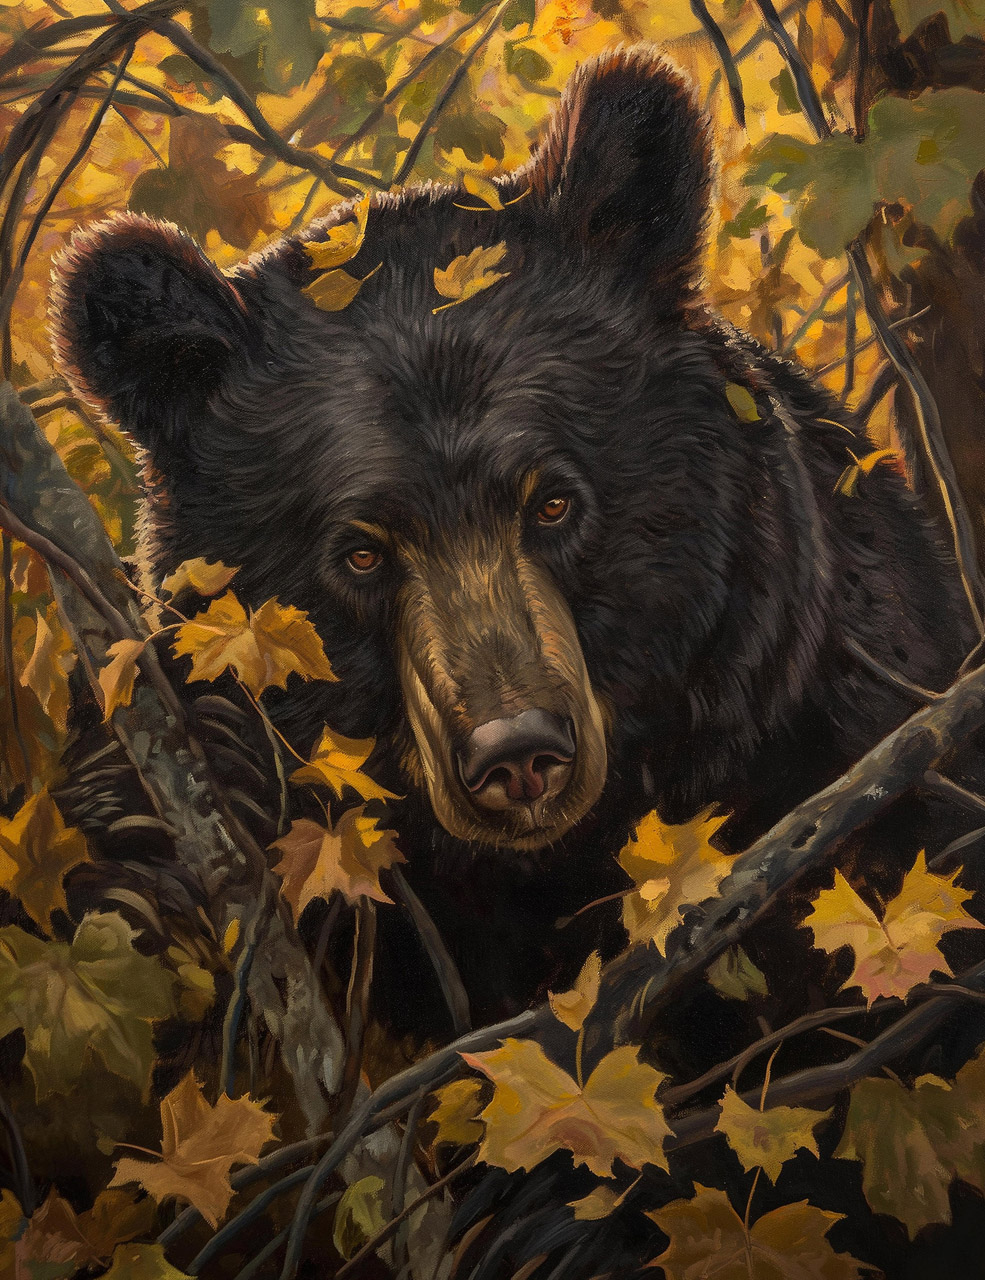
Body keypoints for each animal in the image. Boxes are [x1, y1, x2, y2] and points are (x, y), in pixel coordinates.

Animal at [47, 43, 982, 1278]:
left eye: (552, 502)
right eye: (360, 549)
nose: (517, 753)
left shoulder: (852, 740)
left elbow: (870, 1049)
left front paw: (557, 1213)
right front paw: (180, 803)